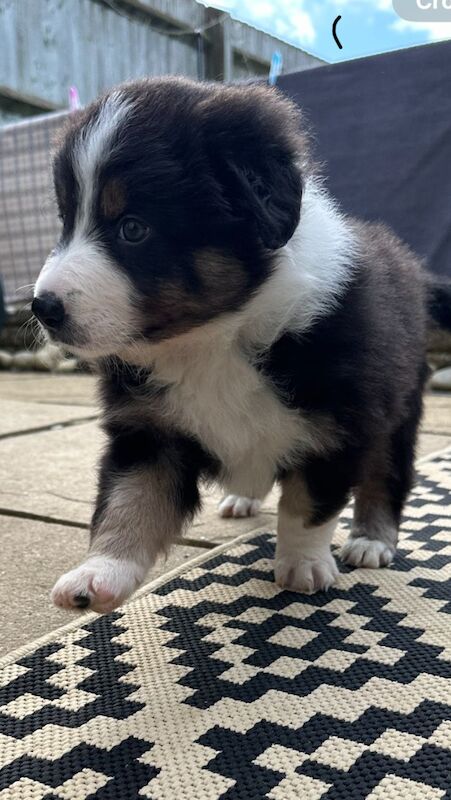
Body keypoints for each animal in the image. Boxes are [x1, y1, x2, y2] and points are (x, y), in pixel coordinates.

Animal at [32, 76, 442, 612]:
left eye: (133, 228)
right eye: (65, 221)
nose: (42, 308)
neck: (212, 340)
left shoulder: (339, 422)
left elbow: (307, 504)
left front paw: (303, 565)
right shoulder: (149, 430)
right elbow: (130, 500)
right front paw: (99, 574)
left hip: (399, 404)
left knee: (386, 472)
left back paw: (371, 539)